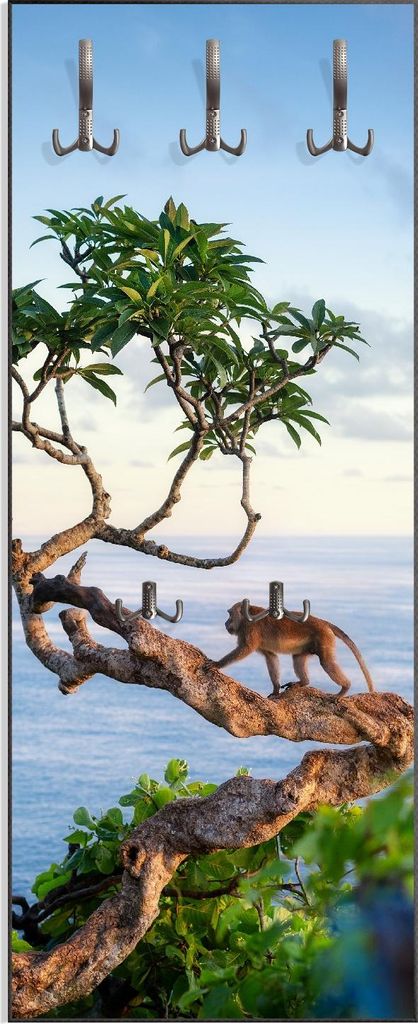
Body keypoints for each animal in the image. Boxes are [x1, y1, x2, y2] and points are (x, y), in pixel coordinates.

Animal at [212, 601, 375, 698]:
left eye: (229, 614)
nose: (226, 623)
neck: (247, 617)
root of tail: (323, 622)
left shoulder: (250, 630)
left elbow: (245, 649)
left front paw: (217, 664)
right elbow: (271, 657)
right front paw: (276, 689)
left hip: (324, 638)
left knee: (327, 663)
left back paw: (345, 688)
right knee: (298, 658)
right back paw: (303, 682)